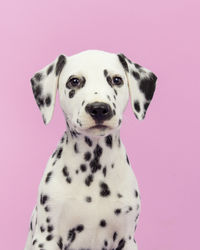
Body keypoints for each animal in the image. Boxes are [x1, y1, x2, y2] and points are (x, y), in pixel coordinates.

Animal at [24, 49, 157, 250]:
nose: (99, 109)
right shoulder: (47, 237)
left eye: (116, 79)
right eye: (74, 81)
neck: (95, 166)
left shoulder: (127, 239)